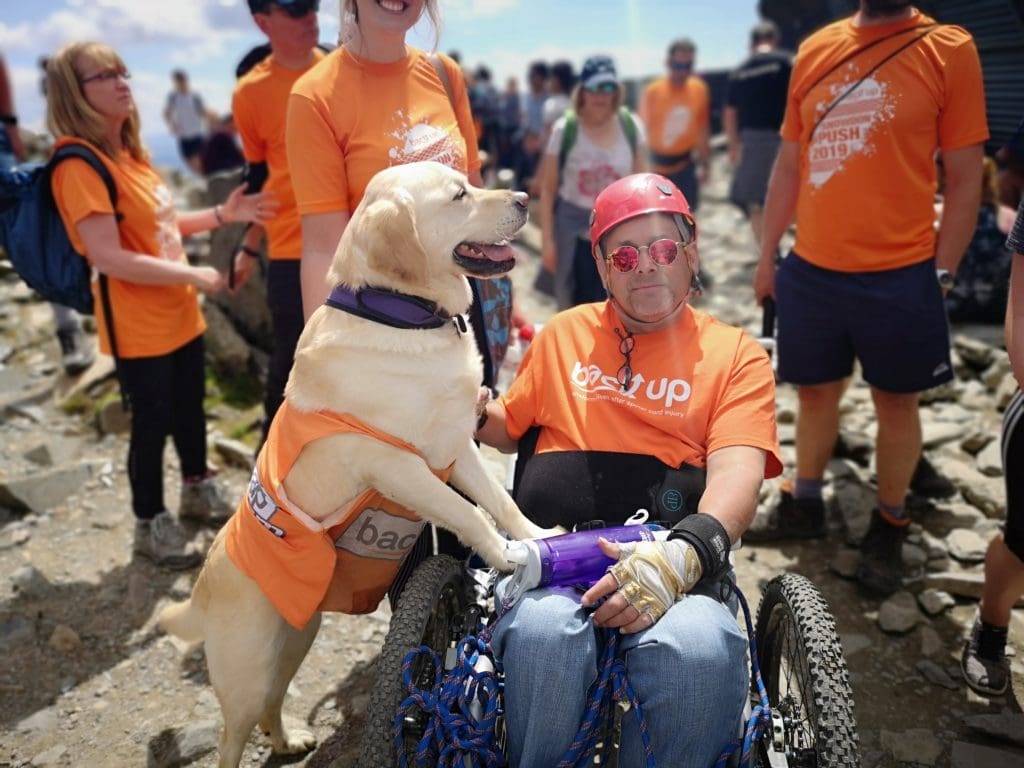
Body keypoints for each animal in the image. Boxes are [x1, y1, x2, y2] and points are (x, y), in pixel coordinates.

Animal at [158, 162, 557, 768]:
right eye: (459, 195)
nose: (524, 197)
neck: (403, 317)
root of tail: (201, 588)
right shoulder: (400, 467)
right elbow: (469, 515)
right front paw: (506, 557)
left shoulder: (455, 445)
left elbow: (501, 501)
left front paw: (539, 537)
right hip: (246, 674)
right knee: (233, 736)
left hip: (296, 639)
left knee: (274, 703)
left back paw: (289, 739)